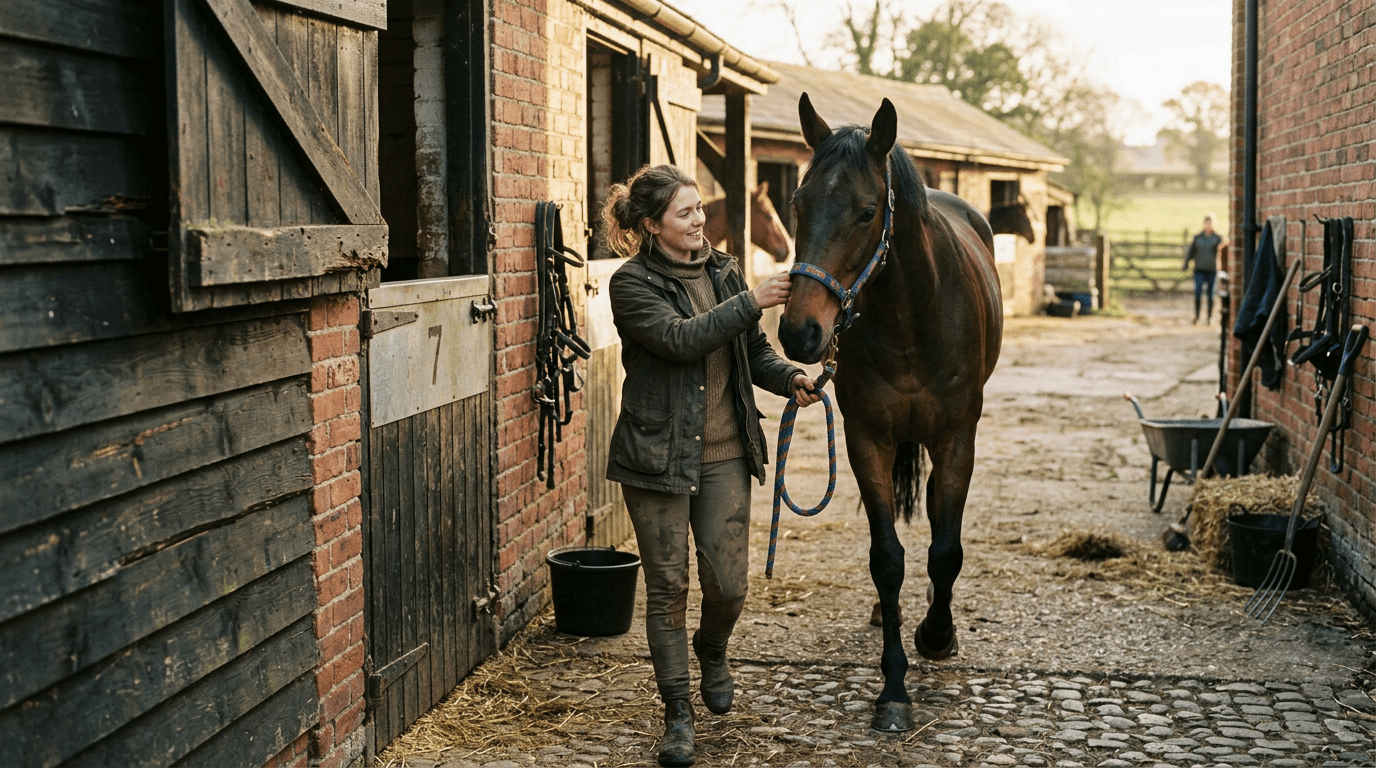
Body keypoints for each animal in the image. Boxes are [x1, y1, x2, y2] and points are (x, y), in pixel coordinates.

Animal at [777, 94, 1003, 733]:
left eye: (865, 211)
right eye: (798, 203)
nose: (800, 331)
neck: (911, 316)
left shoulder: (957, 438)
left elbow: (945, 549)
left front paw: (937, 635)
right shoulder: (867, 439)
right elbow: (887, 558)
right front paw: (894, 687)